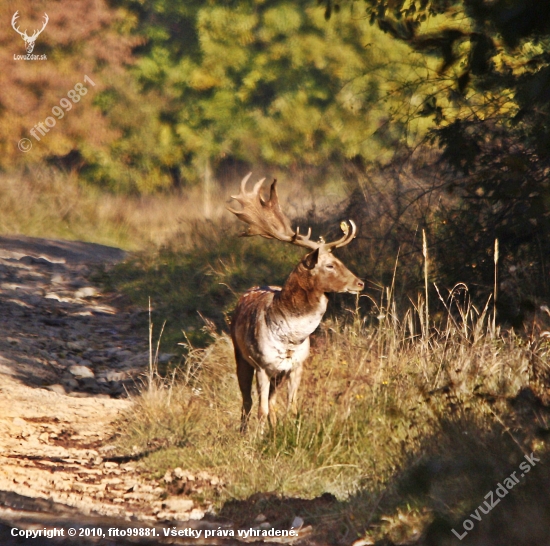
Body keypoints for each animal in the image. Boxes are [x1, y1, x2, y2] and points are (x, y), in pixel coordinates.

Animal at [226, 173, 364, 430]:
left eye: (339, 260)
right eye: (329, 265)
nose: (359, 283)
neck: (290, 339)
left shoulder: (296, 366)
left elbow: (291, 408)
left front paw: (291, 428)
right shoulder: (262, 365)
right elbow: (260, 410)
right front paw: (258, 435)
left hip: (278, 374)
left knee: (272, 402)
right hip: (241, 356)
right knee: (247, 402)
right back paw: (243, 430)